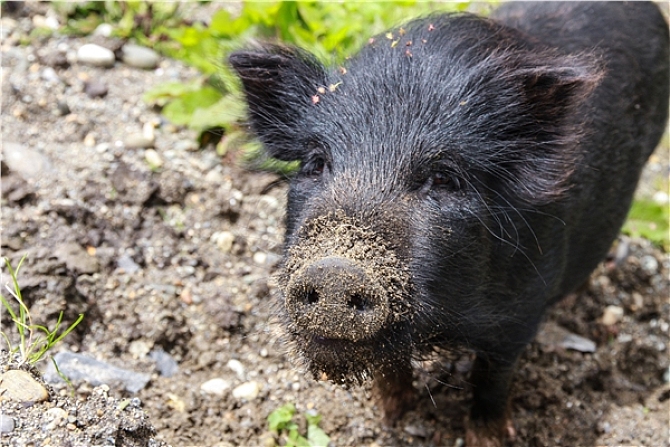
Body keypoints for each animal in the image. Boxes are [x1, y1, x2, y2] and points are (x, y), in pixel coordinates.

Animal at [232, 1, 670, 446]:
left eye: (443, 177)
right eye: (317, 163)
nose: (334, 271)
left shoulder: (521, 315)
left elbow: (491, 381)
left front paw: (487, 438)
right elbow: (391, 368)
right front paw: (392, 418)